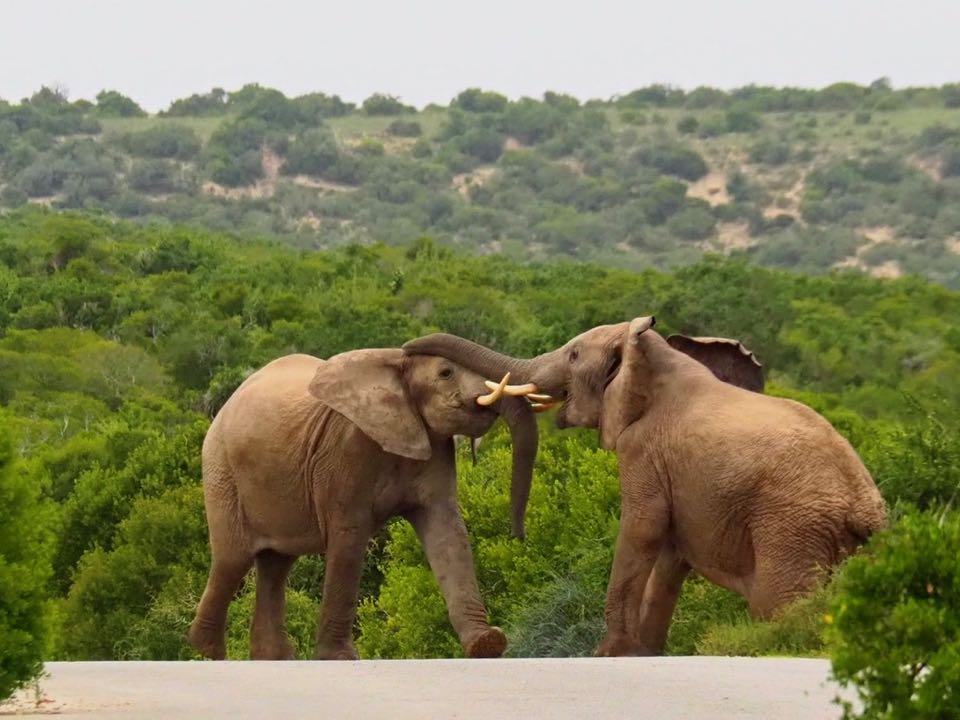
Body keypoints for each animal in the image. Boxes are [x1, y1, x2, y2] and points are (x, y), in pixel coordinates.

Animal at [187, 349, 541, 661]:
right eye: (445, 373)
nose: (518, 536)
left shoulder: (435, 448)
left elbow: (447, 531)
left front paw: (487, 644)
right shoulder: (346, 450)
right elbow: (350, 536)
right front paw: (340, 658)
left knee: (275, 566)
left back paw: (274, 659)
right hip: (222, 470)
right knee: (232, 560)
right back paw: (207, 655)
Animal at [402, 318, 887, 656]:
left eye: (574, 355)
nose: (406, 349)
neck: (652, 358)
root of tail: (863, 506)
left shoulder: (642, 449)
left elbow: (643, 528)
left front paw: (608, 653)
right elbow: (670, 554)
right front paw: (644, 652)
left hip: (791, 530)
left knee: (777, 605)